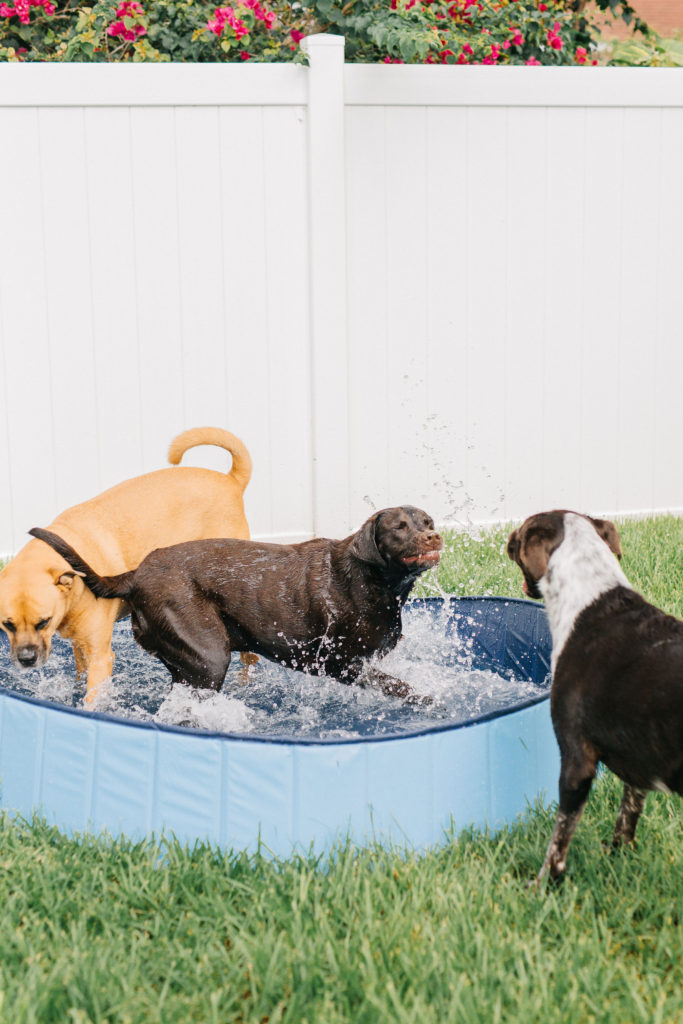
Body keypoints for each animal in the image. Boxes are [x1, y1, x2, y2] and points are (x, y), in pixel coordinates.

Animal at [0, 425, 253, 704]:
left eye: (43, 622)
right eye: (7, 624)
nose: (26, 660)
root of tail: (232, 481)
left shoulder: (100, 656)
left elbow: (93, 699)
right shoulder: (80, 646)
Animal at [507, 512, 683, 888]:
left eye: (516, 541)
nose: (507, 539)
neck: (592, 597)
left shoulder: (577, 760)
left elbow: (559, 840)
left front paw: (541, 887)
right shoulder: (637, 762)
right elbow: (626, 818)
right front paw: (618, 858)